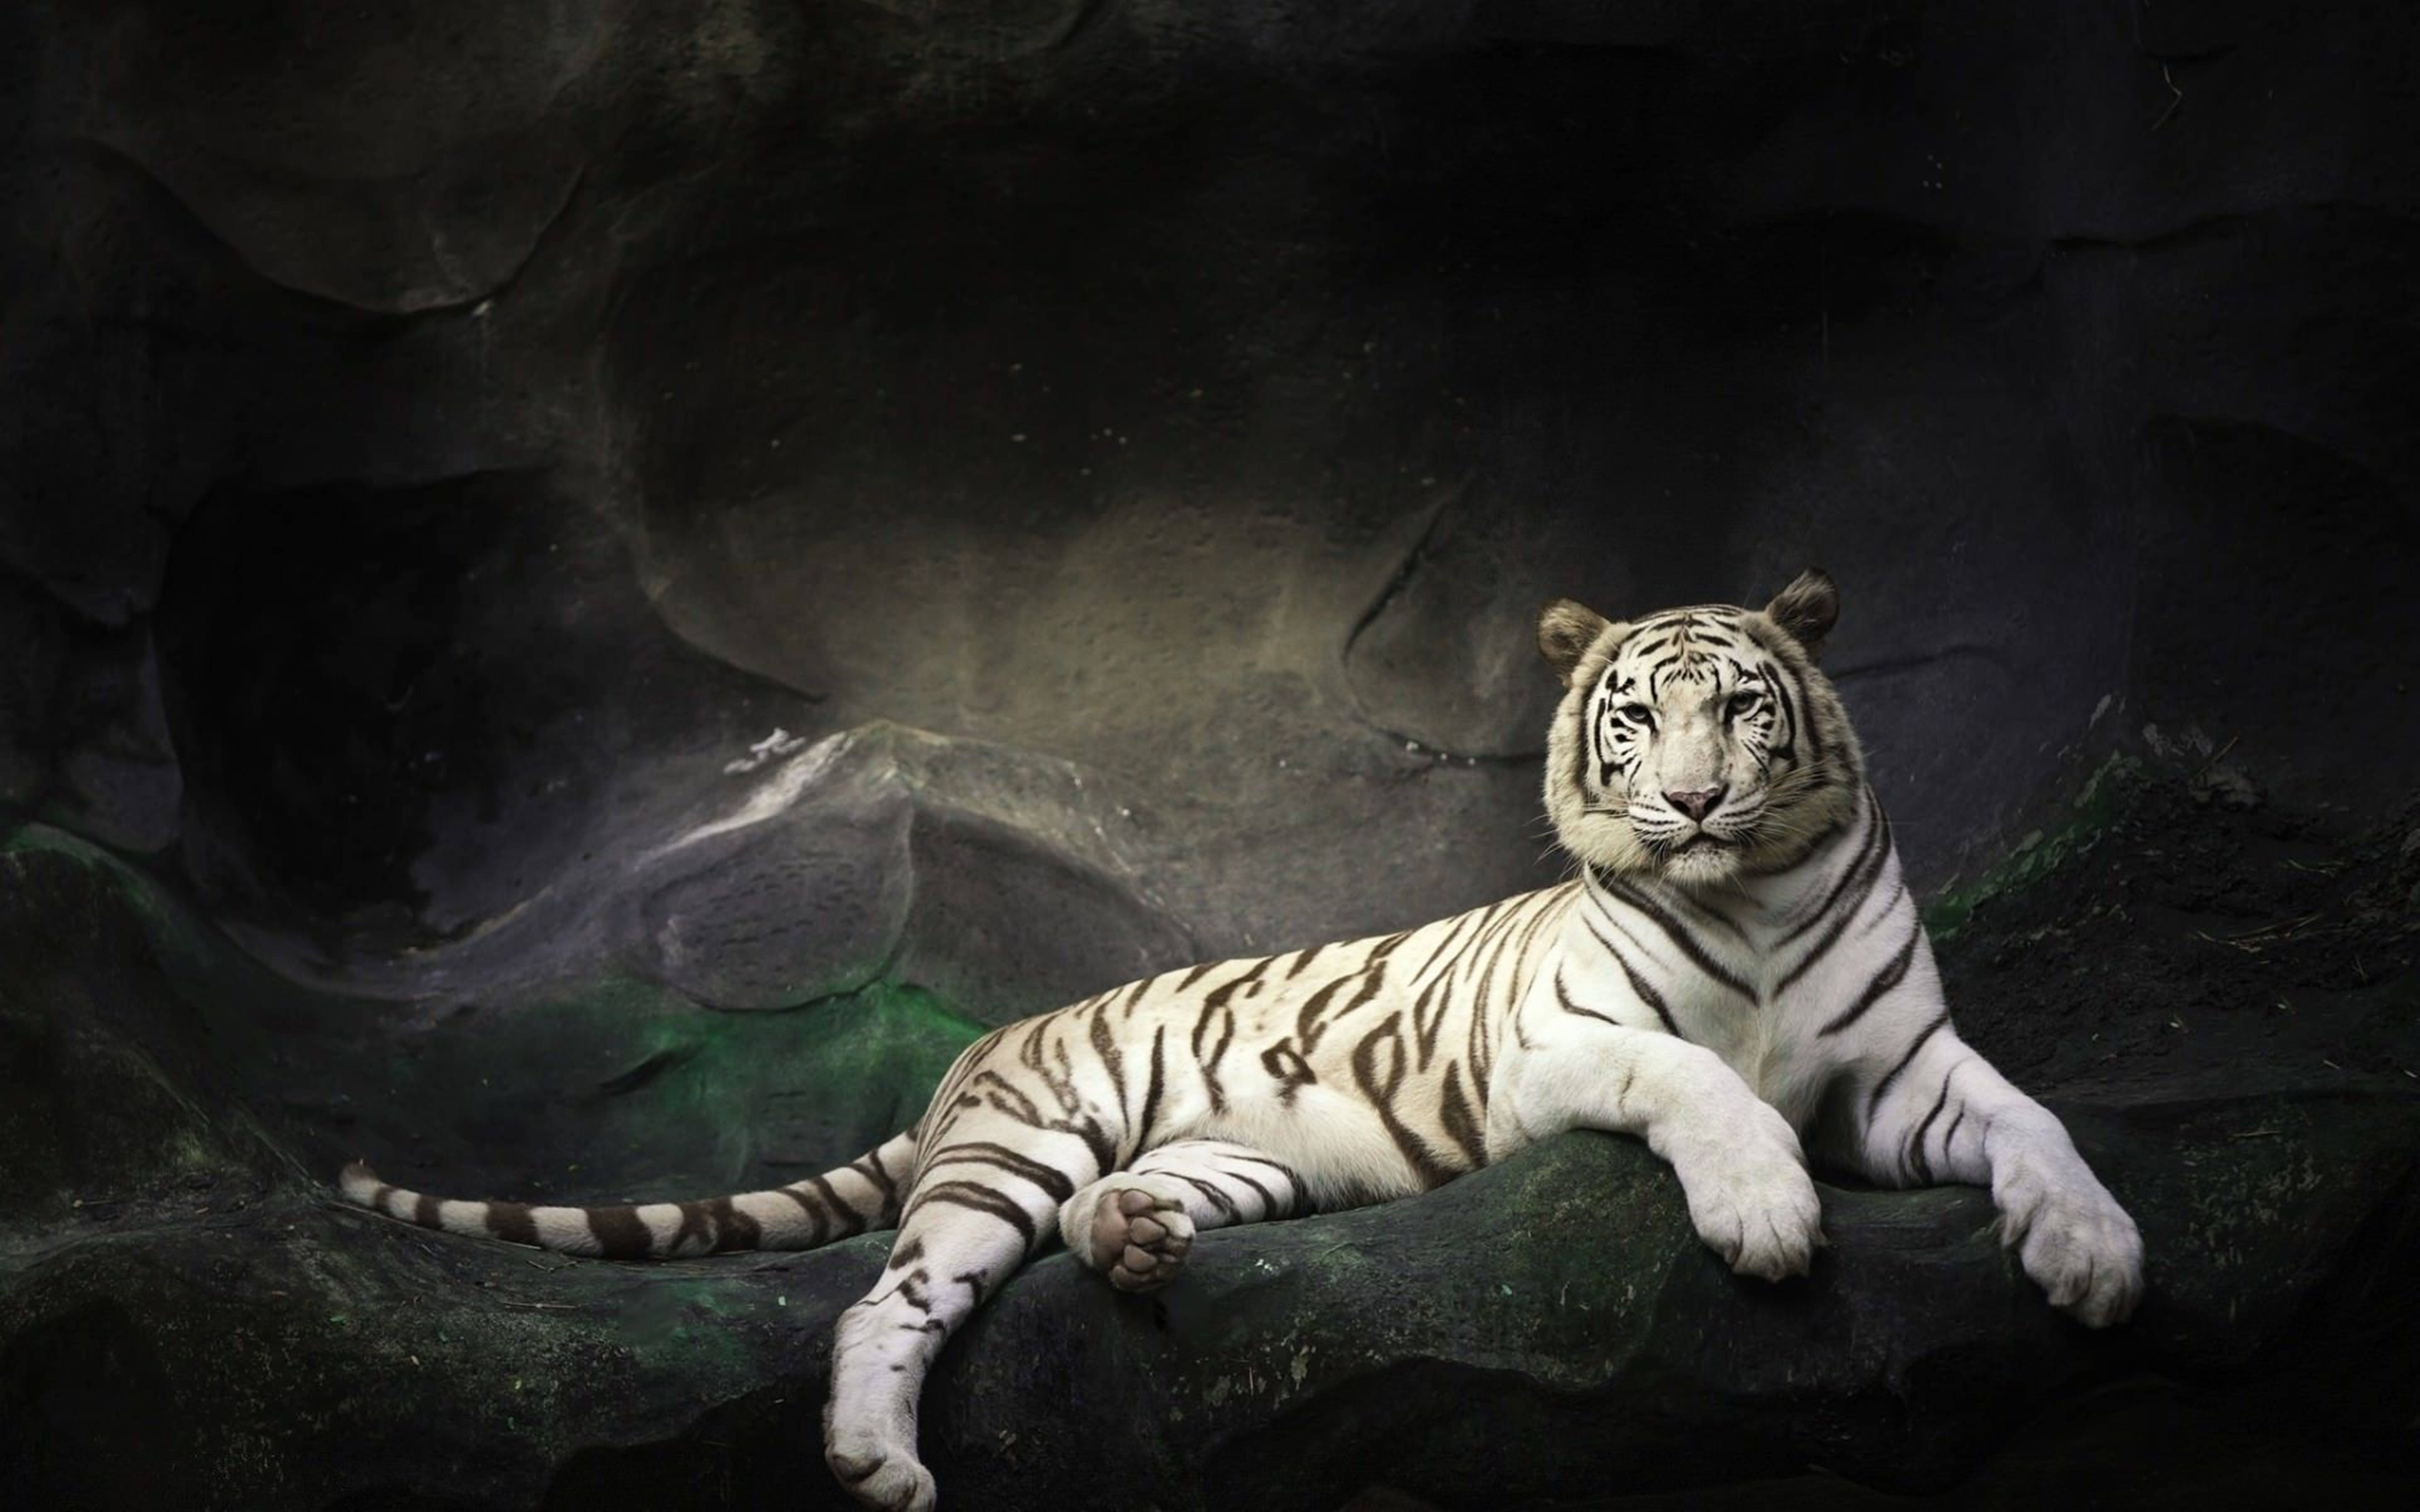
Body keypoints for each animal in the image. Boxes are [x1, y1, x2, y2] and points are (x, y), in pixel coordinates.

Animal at [340, 568, 2143, 1512]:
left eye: (1746, 711)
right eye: (1639, 718)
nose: (1694, 800)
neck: (1752, 897)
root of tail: (973, 1053)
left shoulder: (1903, 1074)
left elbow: (2037, 1122)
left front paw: (2099, 1254)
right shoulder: (1559, 1045)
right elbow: (1695, 1073)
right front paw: (1767, 1215)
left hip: (1230, 1153)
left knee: (1104, 1216)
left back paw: (1136, 1241)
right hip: (1021, 1146)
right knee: (889, 1295)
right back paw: (876, 1458)